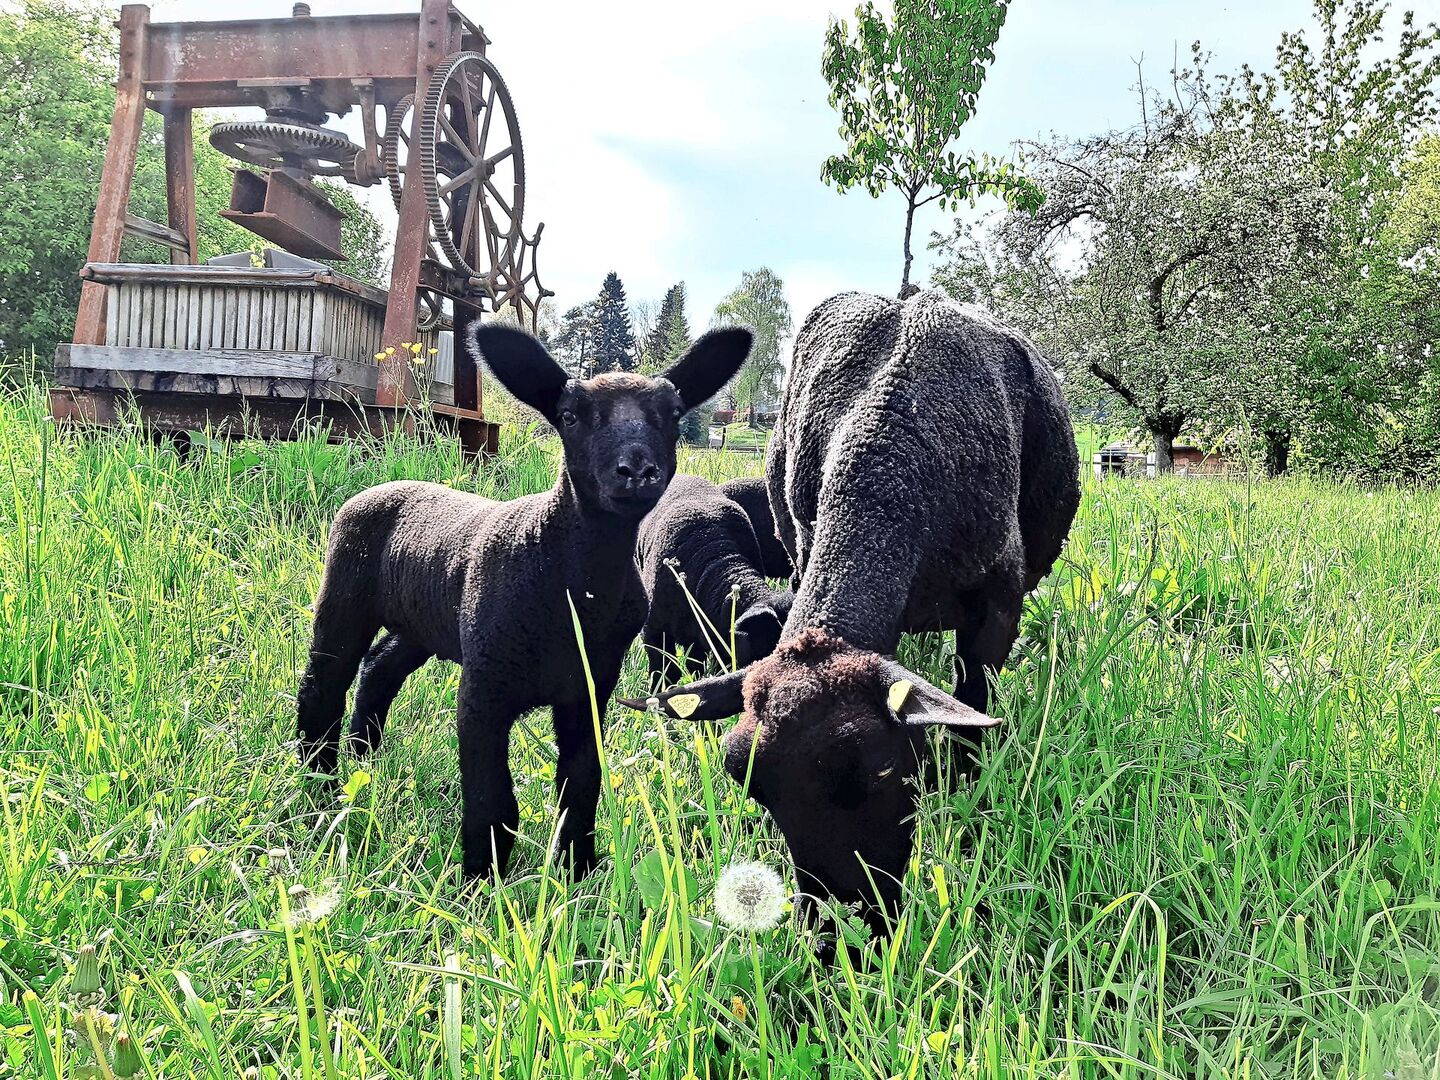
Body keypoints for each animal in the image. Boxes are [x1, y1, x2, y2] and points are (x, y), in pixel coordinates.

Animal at [295, 323, 753, 881]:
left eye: (672, 412)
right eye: (570, 415)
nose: (637, 471)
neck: (570, 579)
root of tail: (380, 485)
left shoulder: (590, 688)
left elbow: (581, 784)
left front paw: (576, 869)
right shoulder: (484, 688)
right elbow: (492, 801)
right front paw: (479, 882)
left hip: (425, 621)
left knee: (381, 667)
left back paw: (363, 757)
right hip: (345, 594)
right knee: (323, 683)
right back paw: (317, 786)